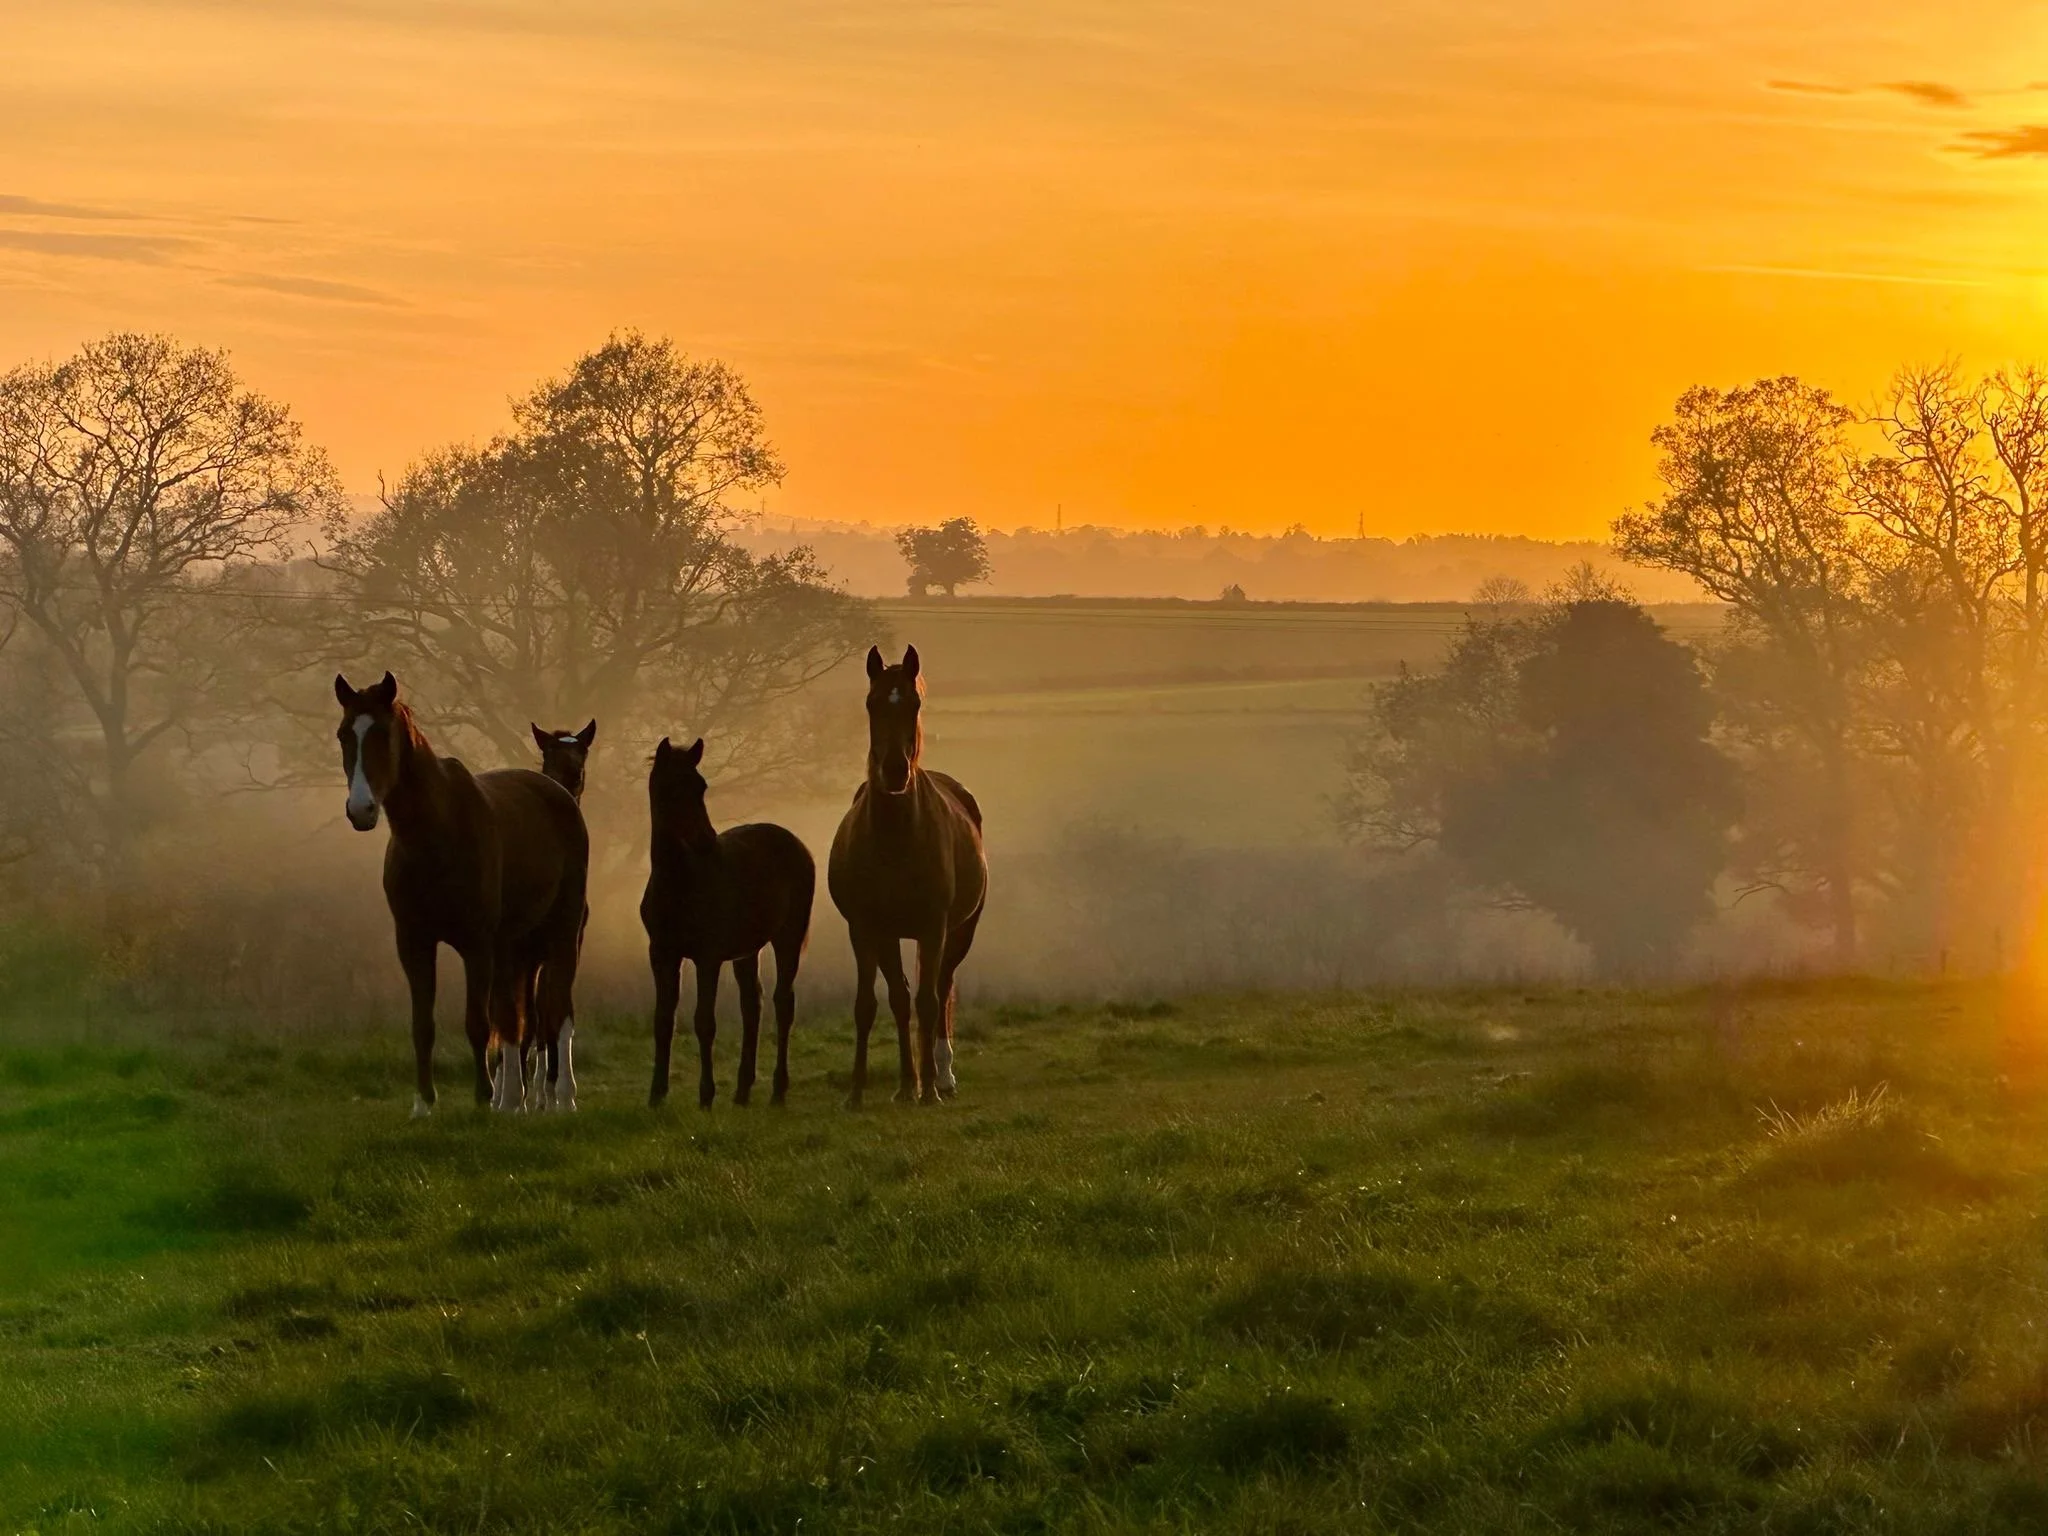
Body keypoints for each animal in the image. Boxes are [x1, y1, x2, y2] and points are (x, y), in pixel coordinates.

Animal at [335, 672, 589, 1117]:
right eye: (344, 734)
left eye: (382, 733)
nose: (360, 809)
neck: (437, 834)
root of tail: (558, 794)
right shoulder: (414, 943)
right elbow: (425, 1026)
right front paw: (424, 1103)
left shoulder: (477, 945)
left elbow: (478, 1022)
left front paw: (482, 1098)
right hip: (515, 947)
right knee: (518, 1020)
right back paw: (515, 1100)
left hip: (563, 932)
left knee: (556, 1011)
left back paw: (560, 1097)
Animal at [642, 736, 815, 1109]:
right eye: (671, 788)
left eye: (701, 786)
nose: (706, 842)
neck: (679, 884)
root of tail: (797, 843)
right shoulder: (661, 954)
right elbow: (663, 1020)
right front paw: (656, 1094)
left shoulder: (707, 957)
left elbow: (704, 1022)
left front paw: (706, 1096)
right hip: (747, 950)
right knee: (753, 1004)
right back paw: (742, 1090)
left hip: (789, 936)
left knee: (783, 1002)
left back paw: (778, 1090)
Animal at [828, 645, 987, 1107]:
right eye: (871, 703)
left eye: (914, 703)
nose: (896, 771)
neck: (895, 839)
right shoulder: (867, 929)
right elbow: (875, 1003)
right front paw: (864, 1091)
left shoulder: (933, 927)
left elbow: (929, 1001)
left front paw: (929, 1089)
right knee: (903, 996)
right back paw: (909, 1083)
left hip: (959, 932)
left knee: (943, 988)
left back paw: (943, 1075)